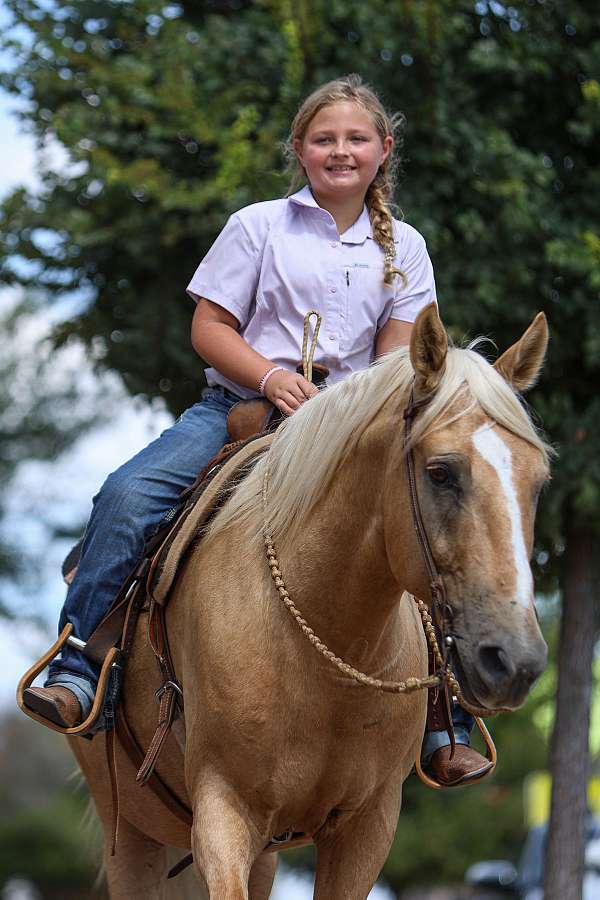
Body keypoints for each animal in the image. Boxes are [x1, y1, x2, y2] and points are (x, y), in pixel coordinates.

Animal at [69, 306, 548, 896]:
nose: (514, 660)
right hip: (132, 834)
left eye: (539, 482)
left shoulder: (368, 826)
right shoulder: (223, 812)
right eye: (441, 472)